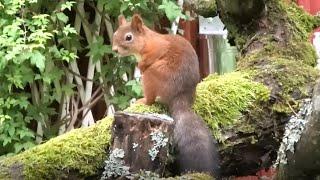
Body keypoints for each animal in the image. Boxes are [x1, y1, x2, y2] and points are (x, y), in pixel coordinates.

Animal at [112, 14, 220, 177]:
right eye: (114, 34)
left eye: (128, 37)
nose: (115, 50)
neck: (147, 41)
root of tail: (180, 96)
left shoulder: (159, 47)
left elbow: (154, 55)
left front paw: (141, 65)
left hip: (153, 75)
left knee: (150, 98)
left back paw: (143, 100)